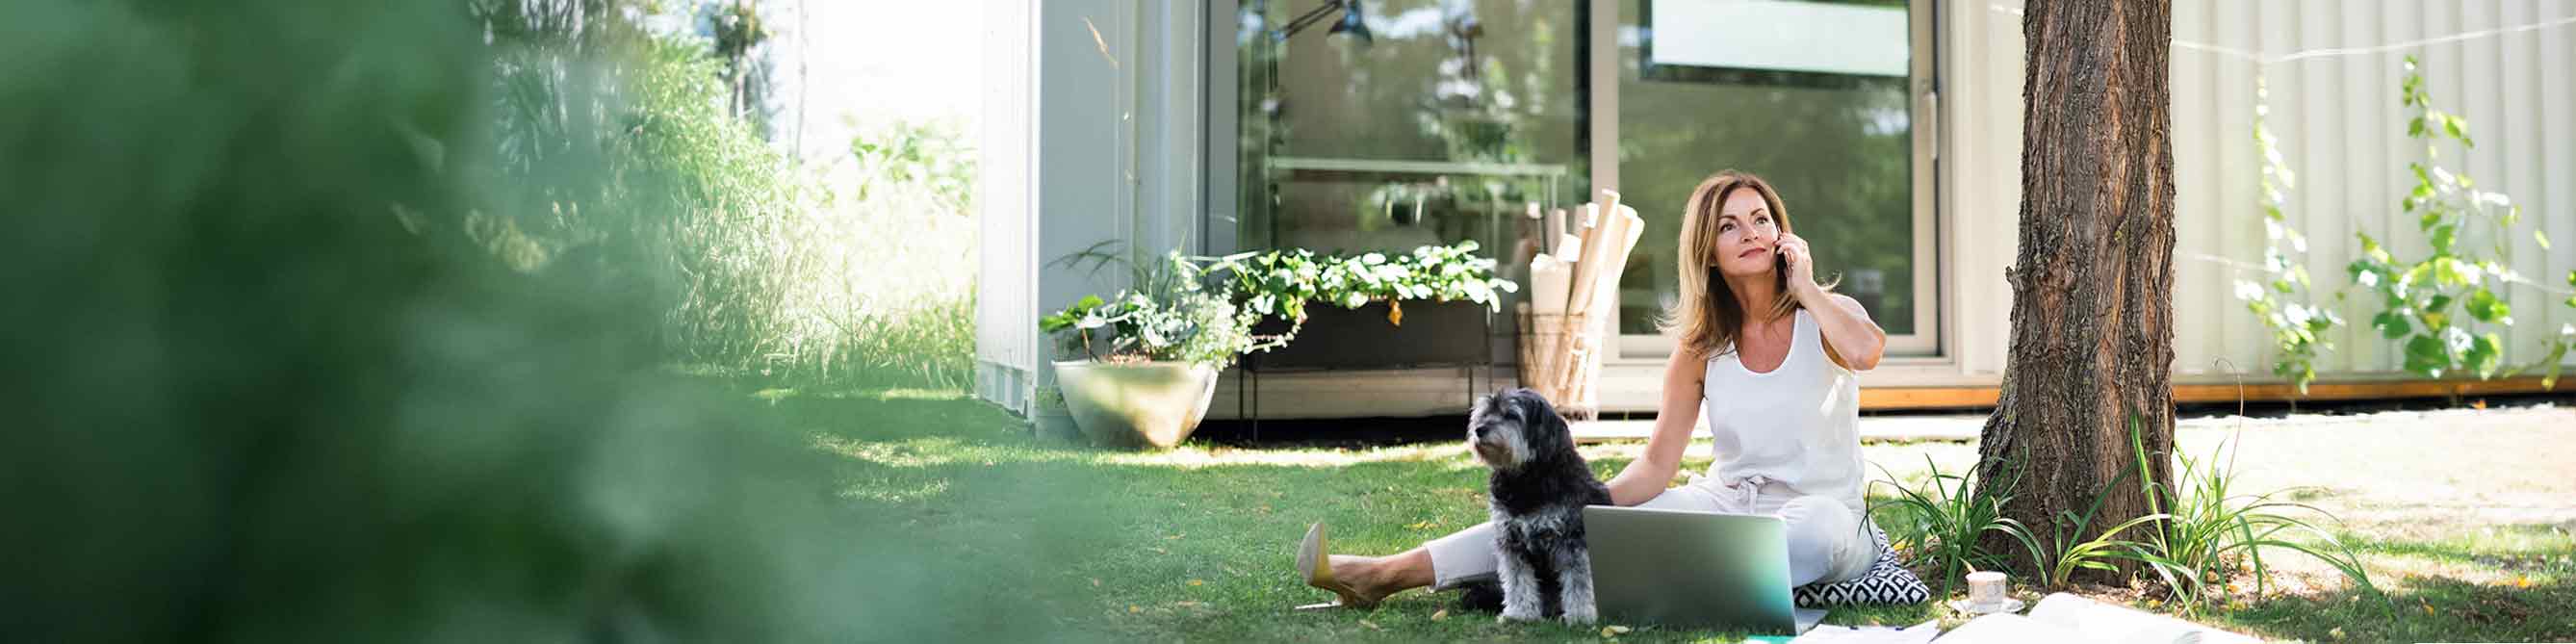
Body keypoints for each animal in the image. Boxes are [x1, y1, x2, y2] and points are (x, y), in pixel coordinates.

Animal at [1473, 386, 1607, 623]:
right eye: (1486, 413)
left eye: (1511, 414)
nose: (1479, 429)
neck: (1527, 480)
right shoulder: (1511, 541)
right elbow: (1518, 582)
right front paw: (1519, 612)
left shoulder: (1573, 539)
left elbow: (1579, 581)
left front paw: (1580, 615)